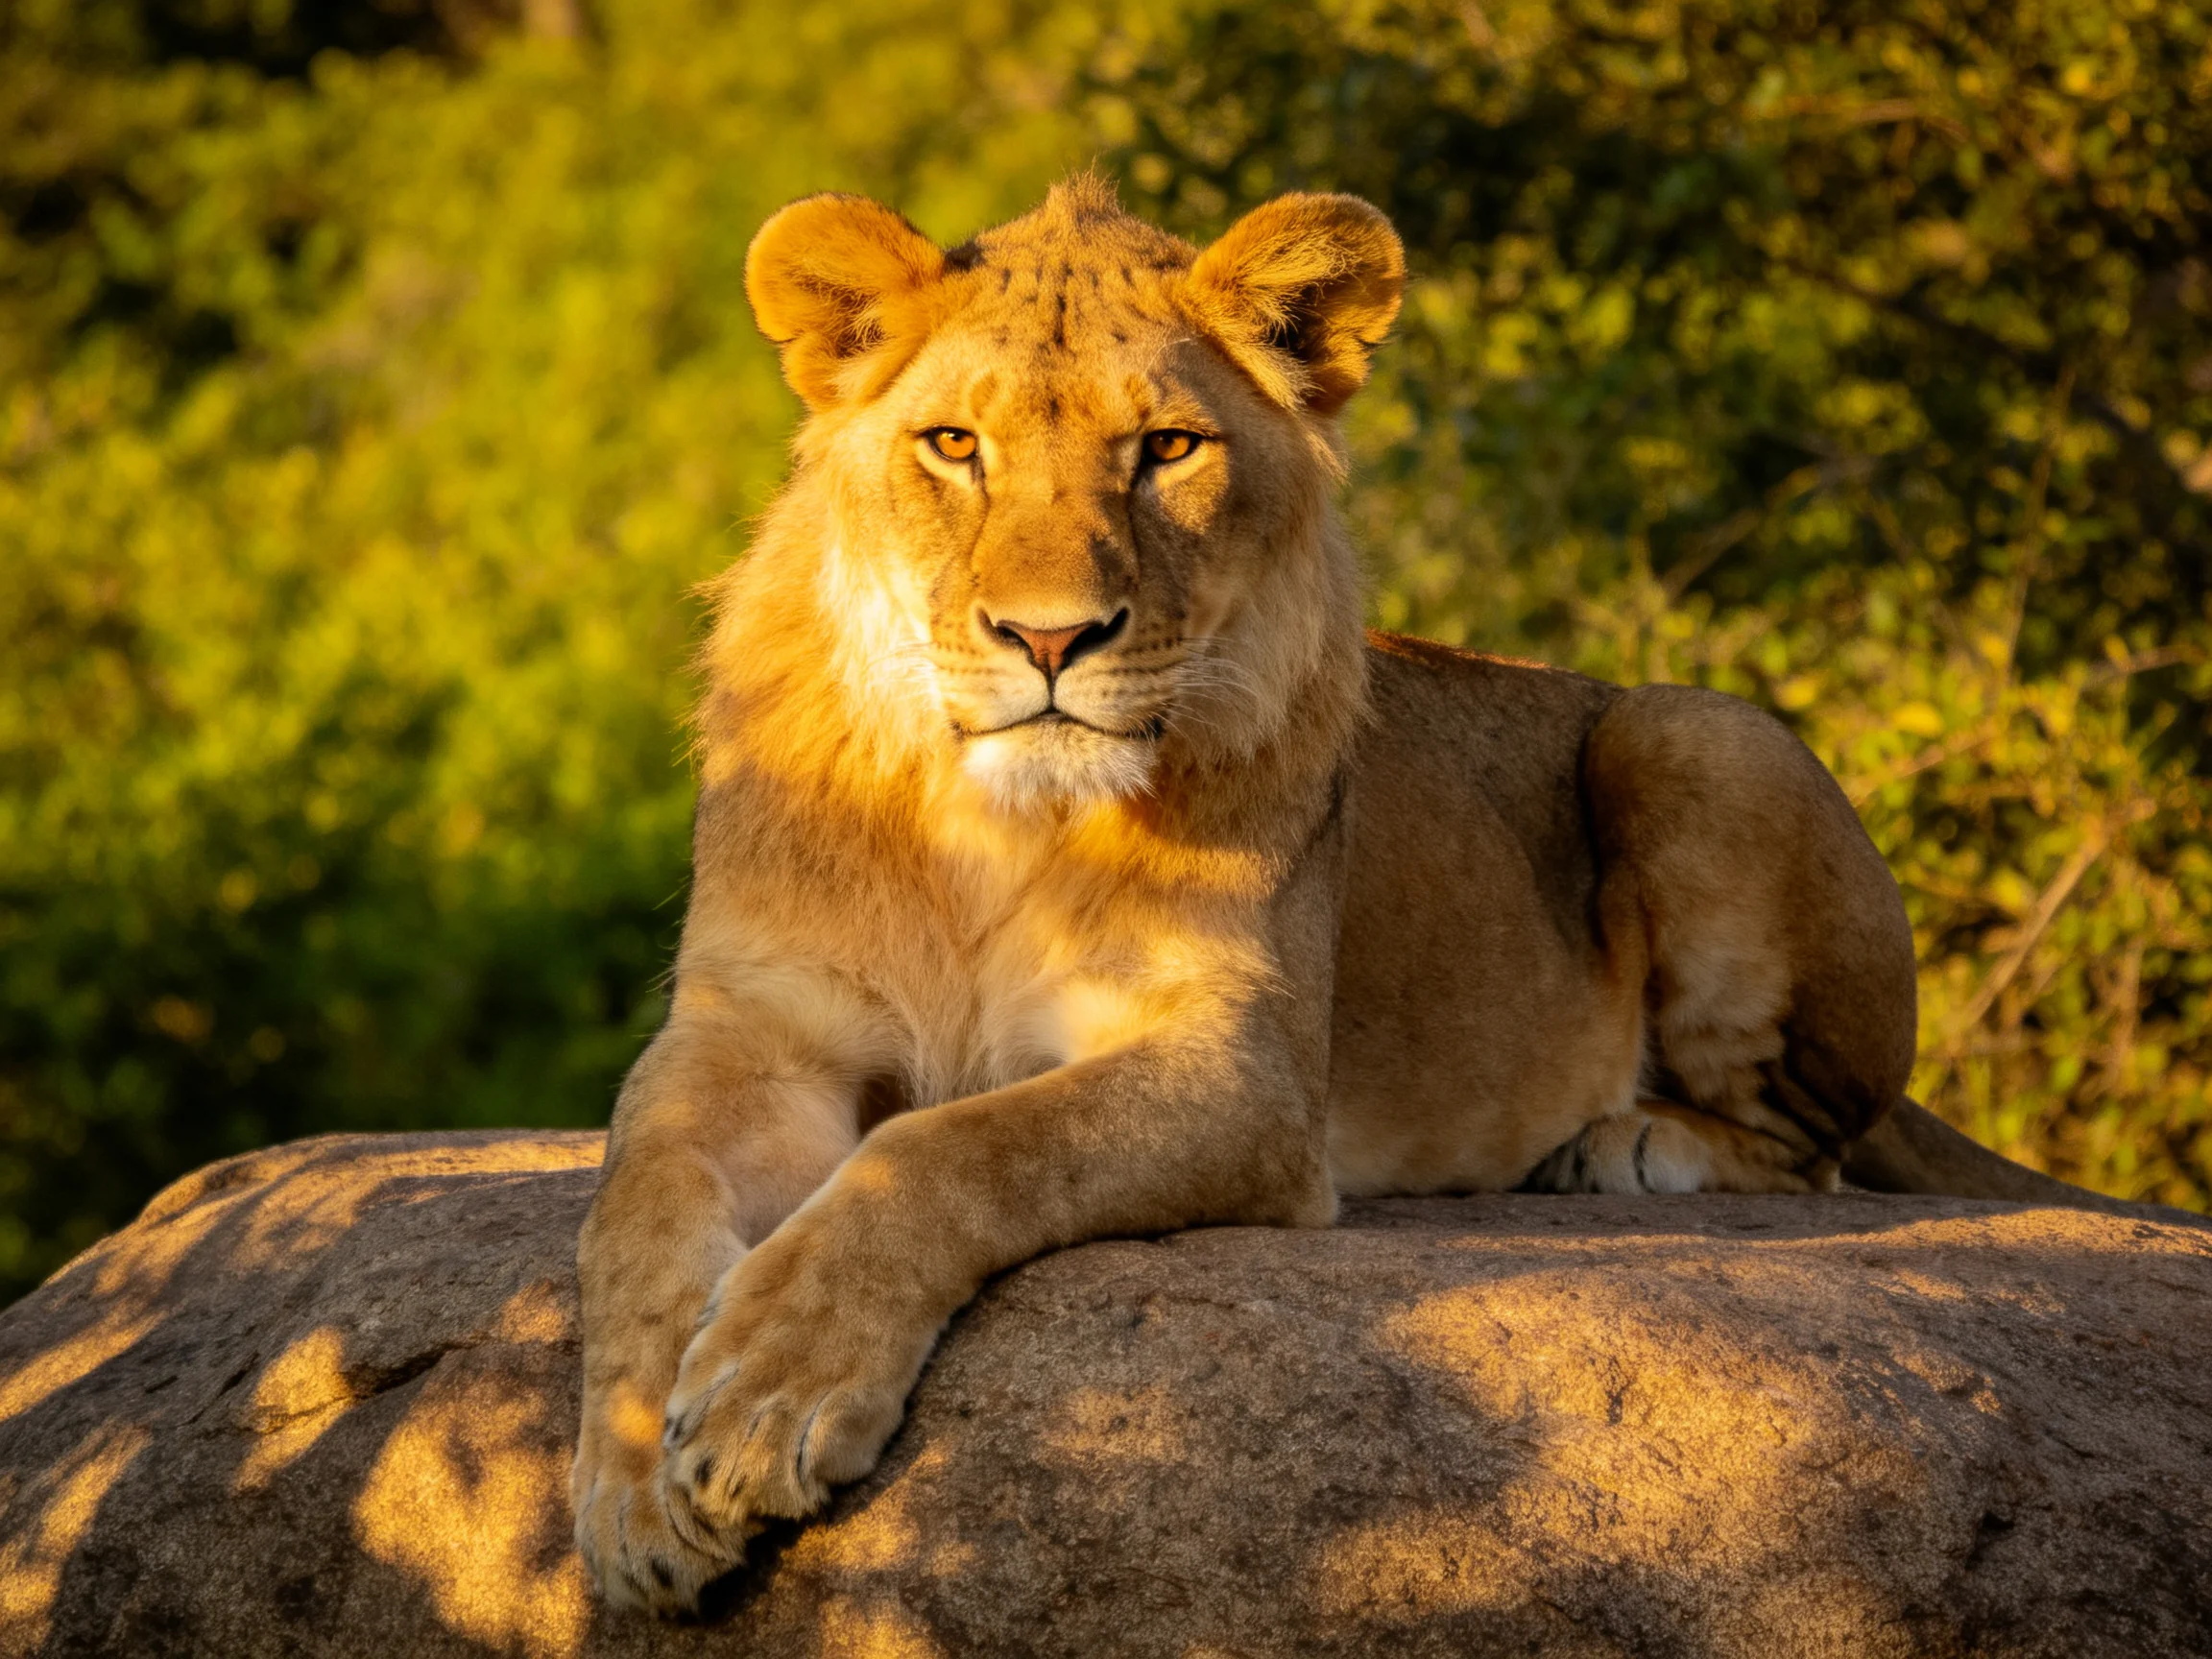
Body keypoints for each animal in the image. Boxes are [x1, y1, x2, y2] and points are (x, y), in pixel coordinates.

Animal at [571, 175, 2128, 1613]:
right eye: (954, 445)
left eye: (1168, 449)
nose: (1052, 639)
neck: (988, 822)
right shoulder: (754, 1031)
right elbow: (636, 1204)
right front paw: (638, 1488)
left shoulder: (1243, 1070)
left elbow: (952, 1149)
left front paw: (765, 1400)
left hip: (1694, 735)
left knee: (1817, 1149)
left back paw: (1628, 1145)